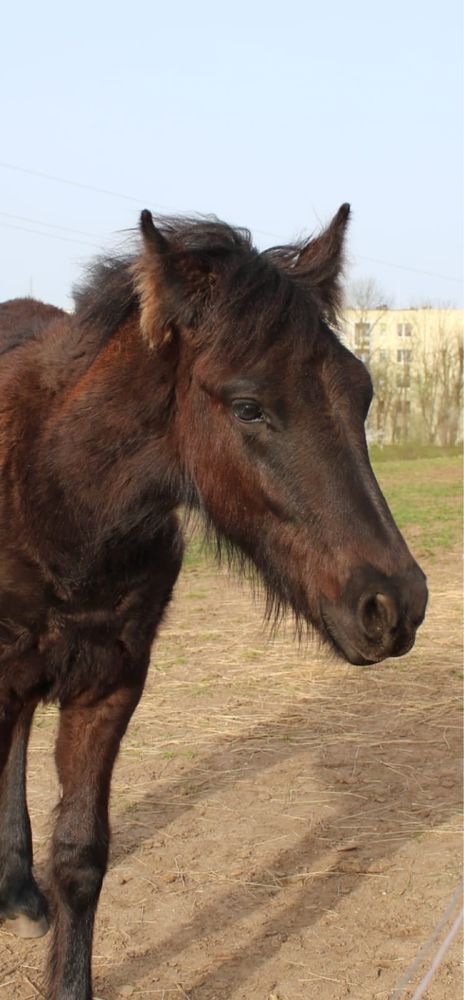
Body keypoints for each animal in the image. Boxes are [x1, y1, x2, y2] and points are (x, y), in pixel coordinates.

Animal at [0, 207, 428, 996]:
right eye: (248, 406)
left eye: (362, 394)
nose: (393, 604)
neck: (53, 490)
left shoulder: (111, 682)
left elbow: (80, 857)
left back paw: (18, 891)